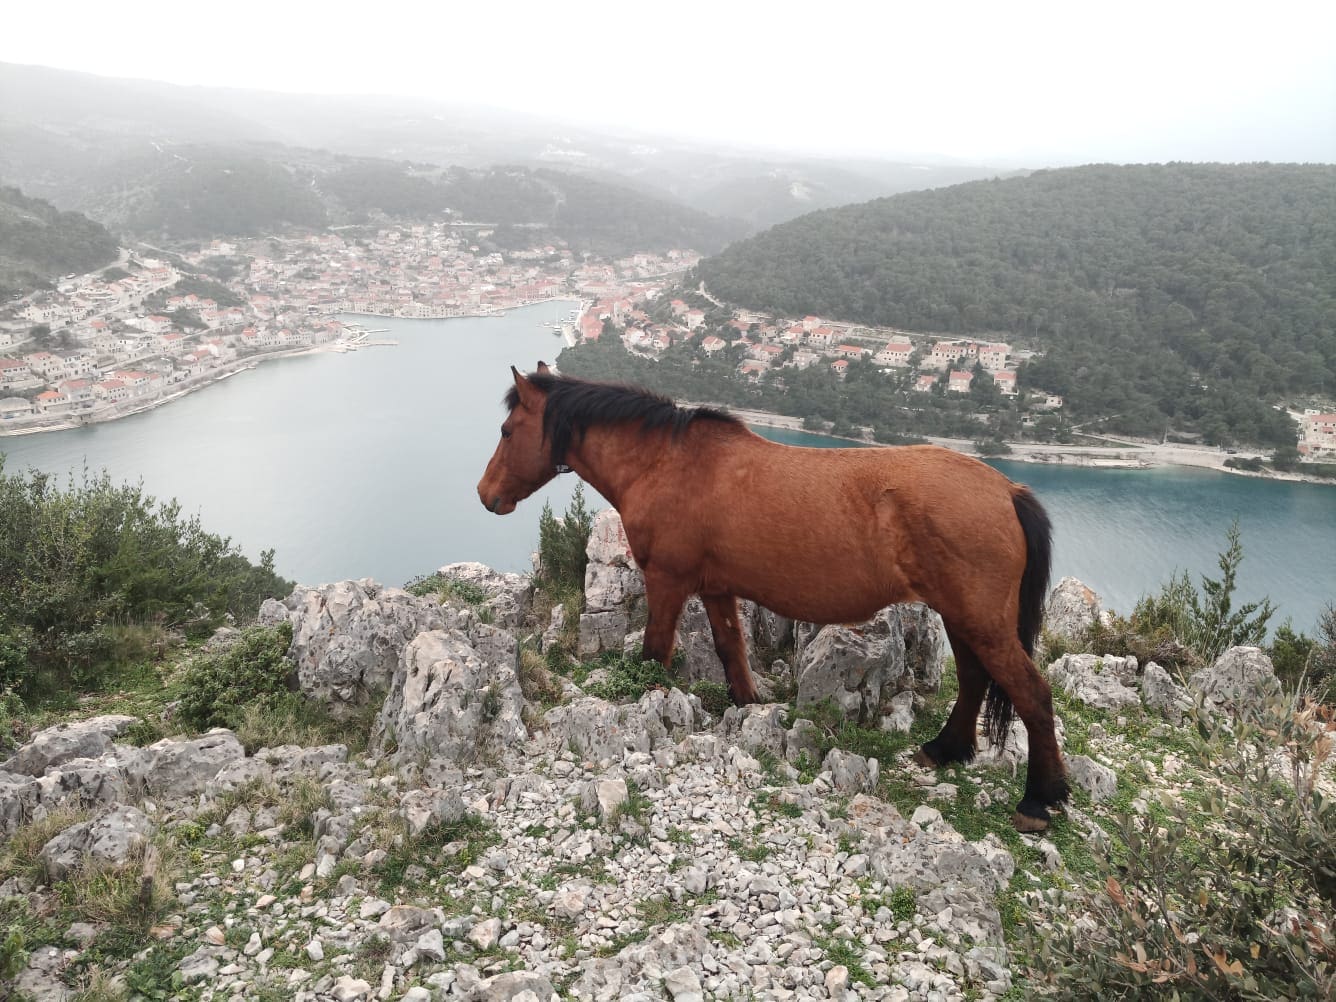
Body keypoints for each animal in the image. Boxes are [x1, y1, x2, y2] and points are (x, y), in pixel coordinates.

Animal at [478, 363, 1068, 831]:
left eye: (507, 429)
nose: (486, 495)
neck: (665, 463)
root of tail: (1007, 490)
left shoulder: (667, 581)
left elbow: (655, 653)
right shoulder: (717, 589)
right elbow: (731, 652)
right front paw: (748, 710)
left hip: (980, 620)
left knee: (1032, 694)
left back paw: (1039, 800)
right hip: (962, 616)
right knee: (974, 680)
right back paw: (946, 750)